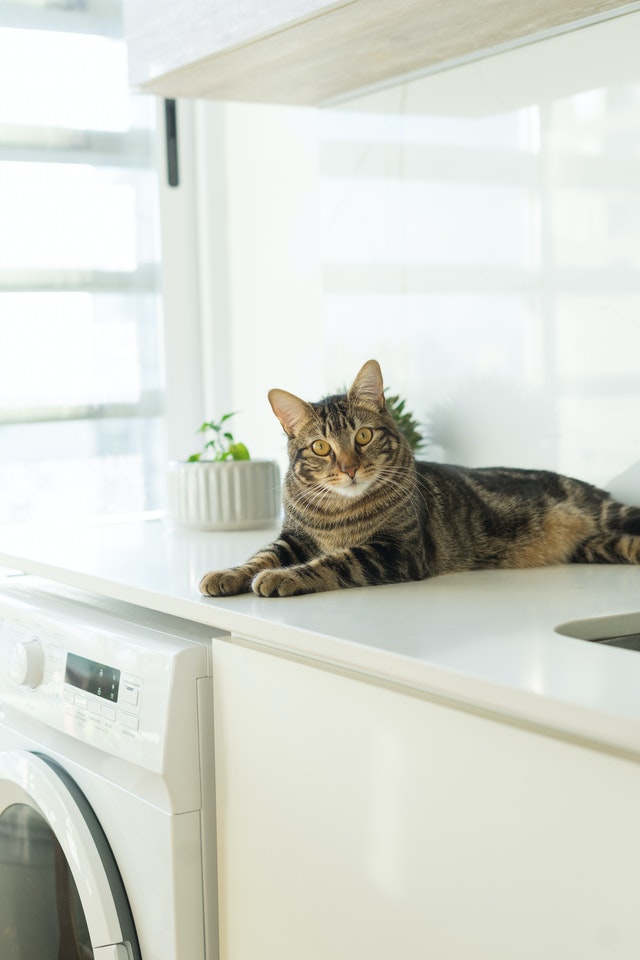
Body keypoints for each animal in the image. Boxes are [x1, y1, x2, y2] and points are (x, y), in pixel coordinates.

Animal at [200, 362, 640, 600]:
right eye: (321, 447)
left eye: (363, 436)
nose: (350, 468)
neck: (338, 512)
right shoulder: (293, 537)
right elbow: (260, 555)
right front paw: (227, 574)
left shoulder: (397, 549)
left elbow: (335, 561)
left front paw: (282, 578)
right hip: (597, 546)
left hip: (612, 513)